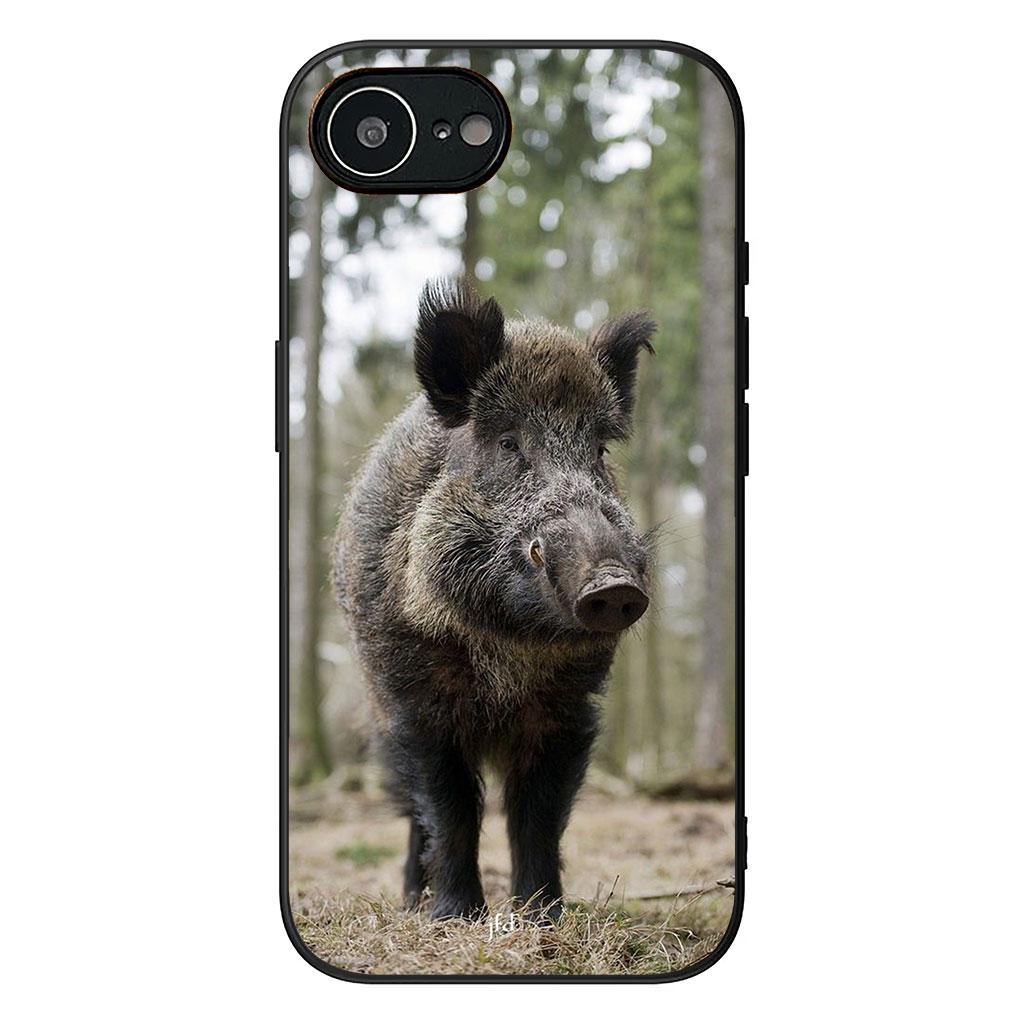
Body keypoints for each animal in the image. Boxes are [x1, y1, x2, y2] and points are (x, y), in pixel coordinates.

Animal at [332, 278, 655, 921]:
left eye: (600, 452)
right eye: (508, 443)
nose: (614, 584)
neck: (508, 648)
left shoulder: (567, 708)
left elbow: (538, 815)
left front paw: (541, 915)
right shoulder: (416, 702)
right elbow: (450, 808)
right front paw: (456, 916)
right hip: (377, 719)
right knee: (413, 815)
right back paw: (412, 902)